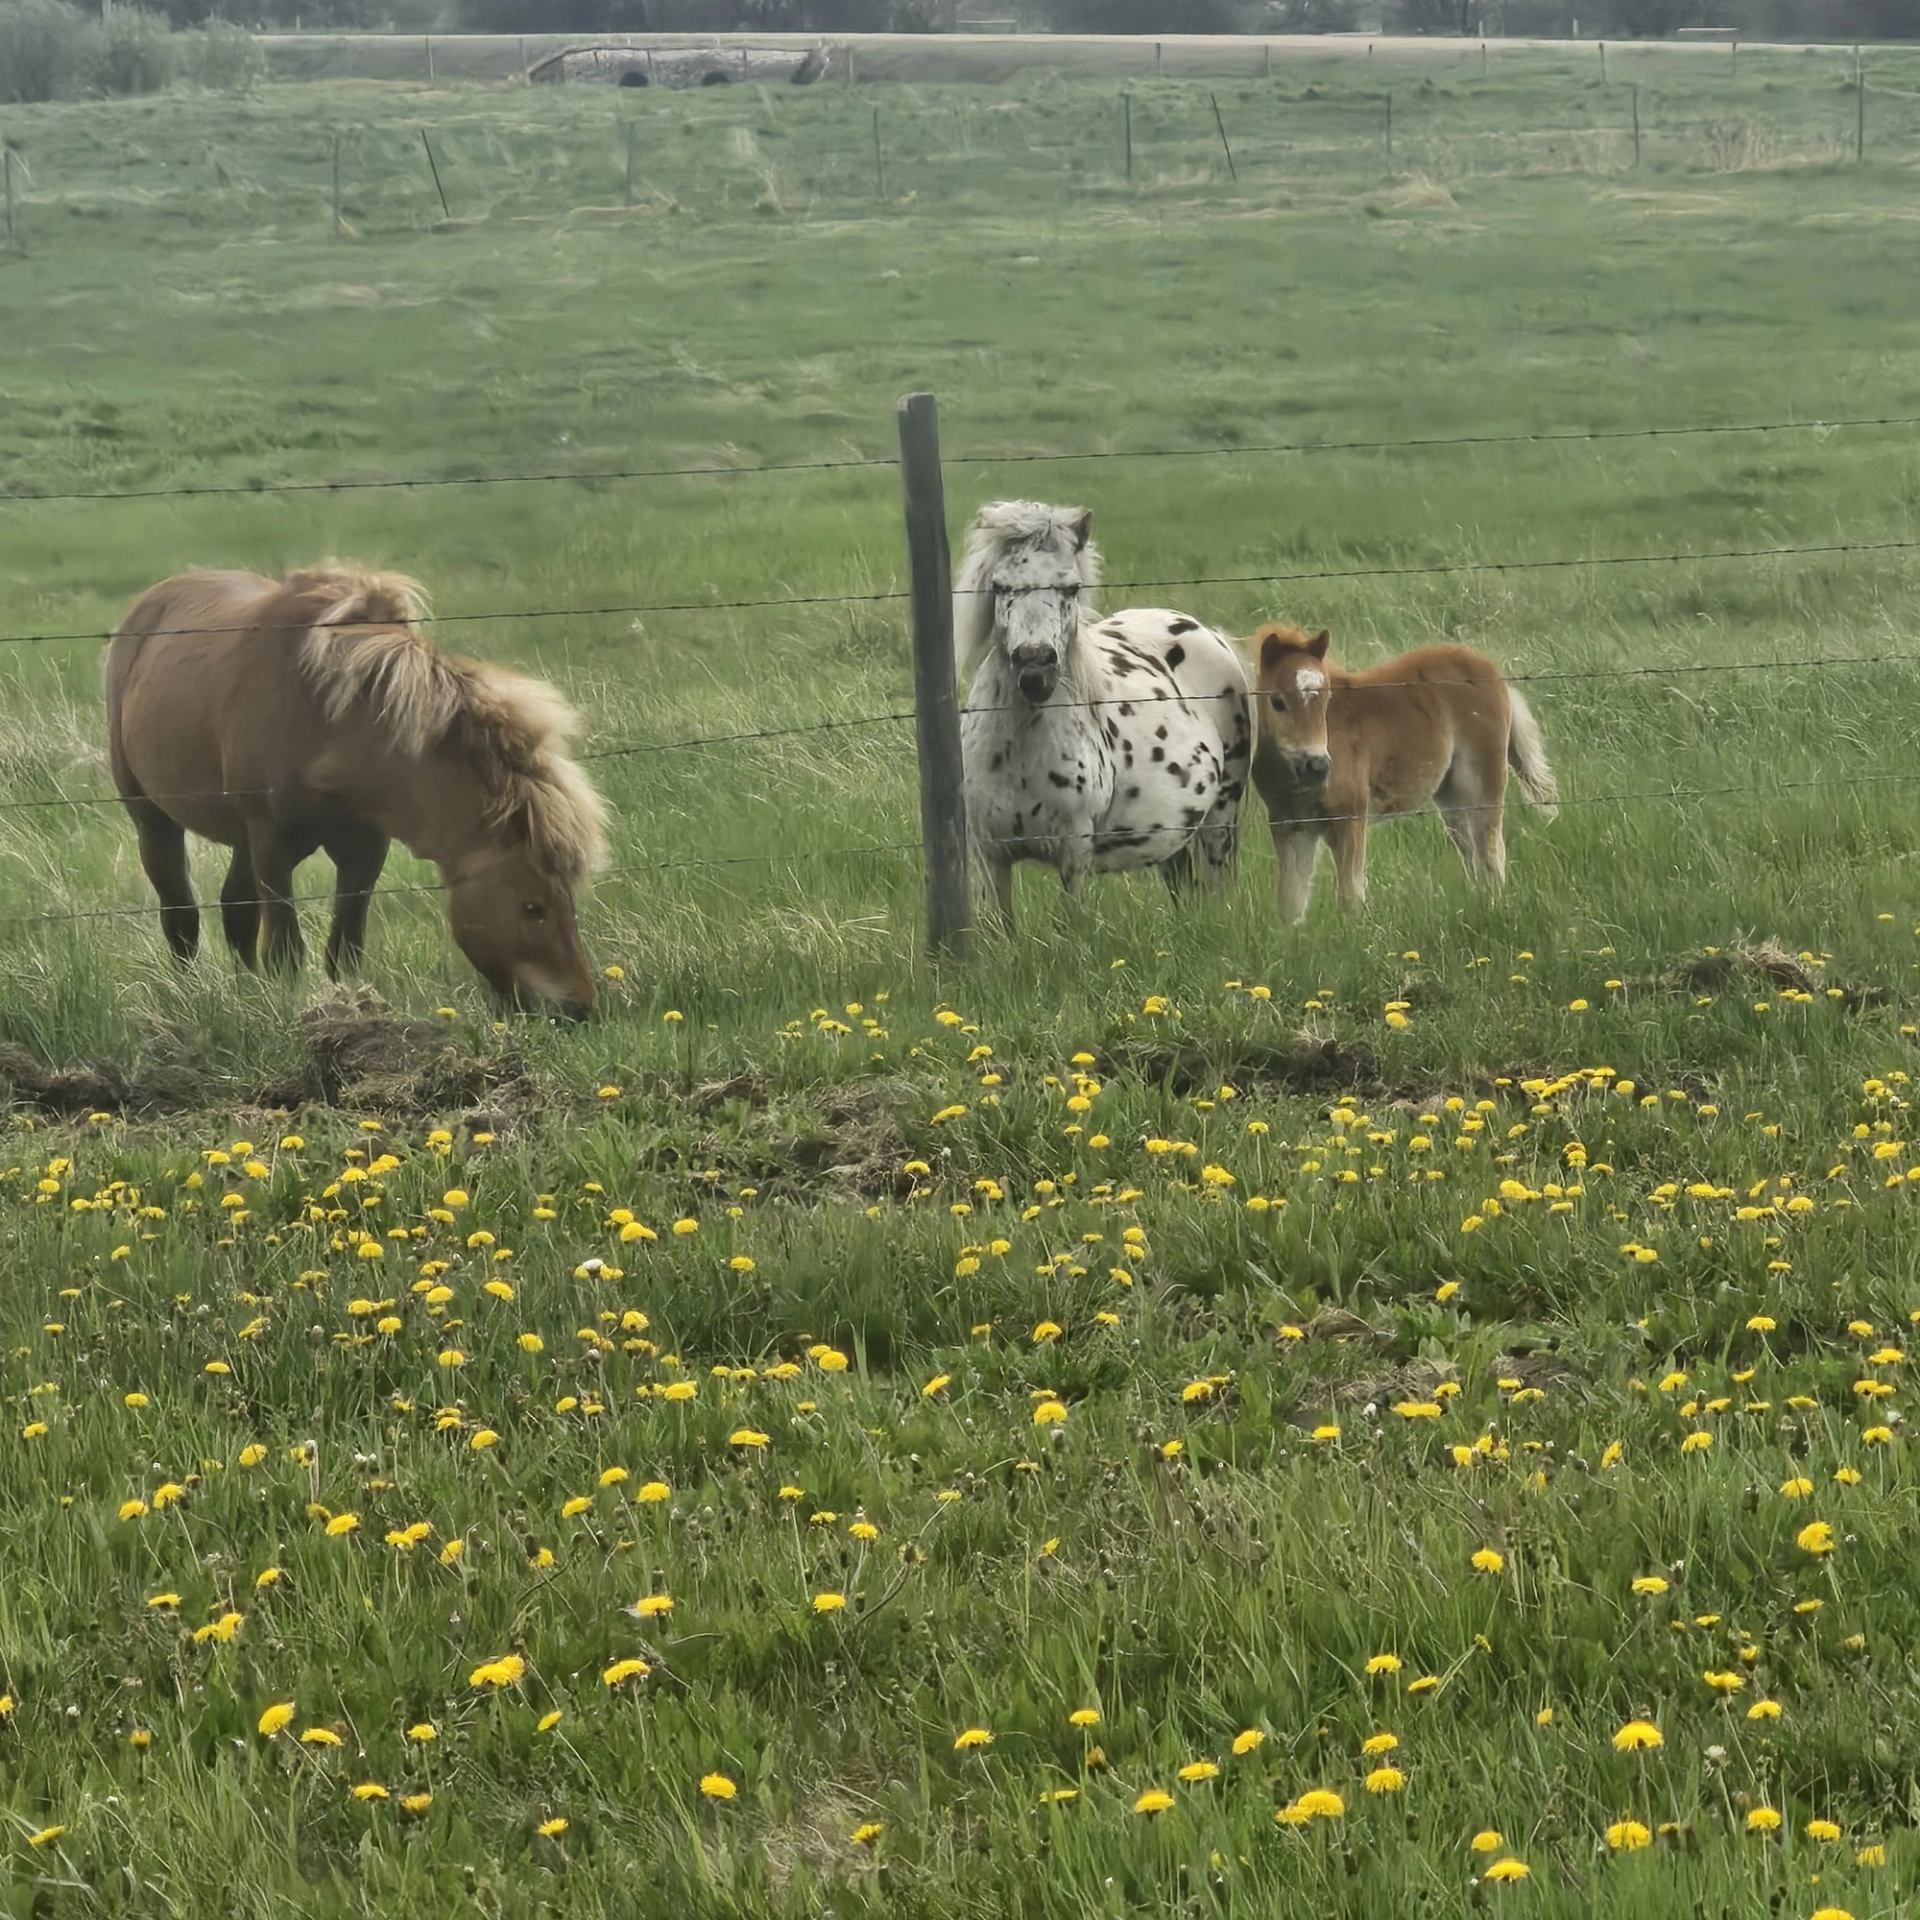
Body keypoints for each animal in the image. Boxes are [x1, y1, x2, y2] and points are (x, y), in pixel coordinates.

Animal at [106, 562, 608, 1017]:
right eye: (532, 906)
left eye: (569, 900)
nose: (579, 1007)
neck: (334, 723)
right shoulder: (272, 842)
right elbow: (285, 950)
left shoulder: (364, 849)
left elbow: (344, 947)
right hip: (153, 819)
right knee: (181, 914)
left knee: (236, 910)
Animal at [953, 500, 1255, 928]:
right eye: (999, 586)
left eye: (1071, 588)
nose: (1035, 669)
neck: (1023, 751)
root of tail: (1208, 632)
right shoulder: (989, 853)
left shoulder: (1074, 850)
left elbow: (1071, 920)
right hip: (1175, 832)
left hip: (1221, 815)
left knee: (1216, 886)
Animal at [1249, 623, 1557, 922]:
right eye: (1277, 701)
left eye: (1326, 700)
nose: (1317, 766)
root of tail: (1492, 671)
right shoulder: (1290, 826)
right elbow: (1290, 901)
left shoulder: (1350, 817)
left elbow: (1350, 894)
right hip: (1452, 797)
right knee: (1472, 854)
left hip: (1483, 783)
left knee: (1491, 853)